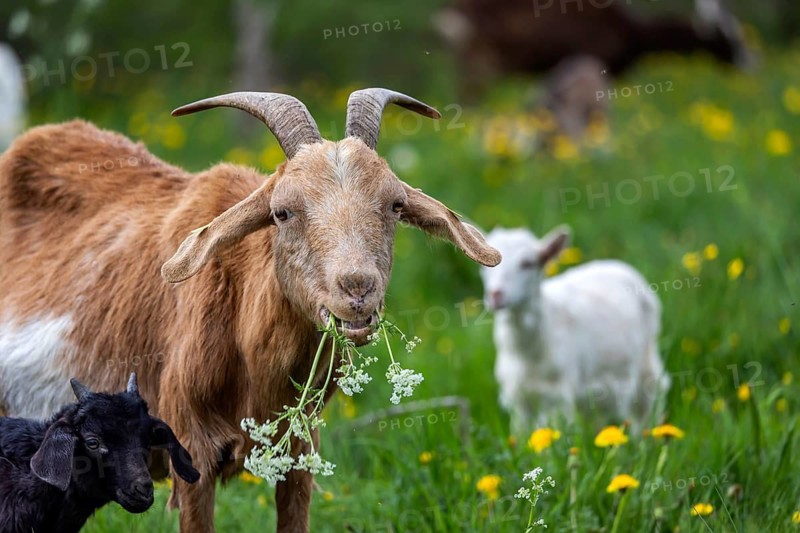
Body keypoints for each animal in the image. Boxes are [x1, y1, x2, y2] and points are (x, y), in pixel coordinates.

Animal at [479, 226, 669, 433]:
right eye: (483, 267)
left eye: (528, 264)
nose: (495, 294)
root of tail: (616, 264)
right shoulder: (518, 399)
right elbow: (522, 436)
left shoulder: (558, 396)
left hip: (647, 360)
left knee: (649, 403)